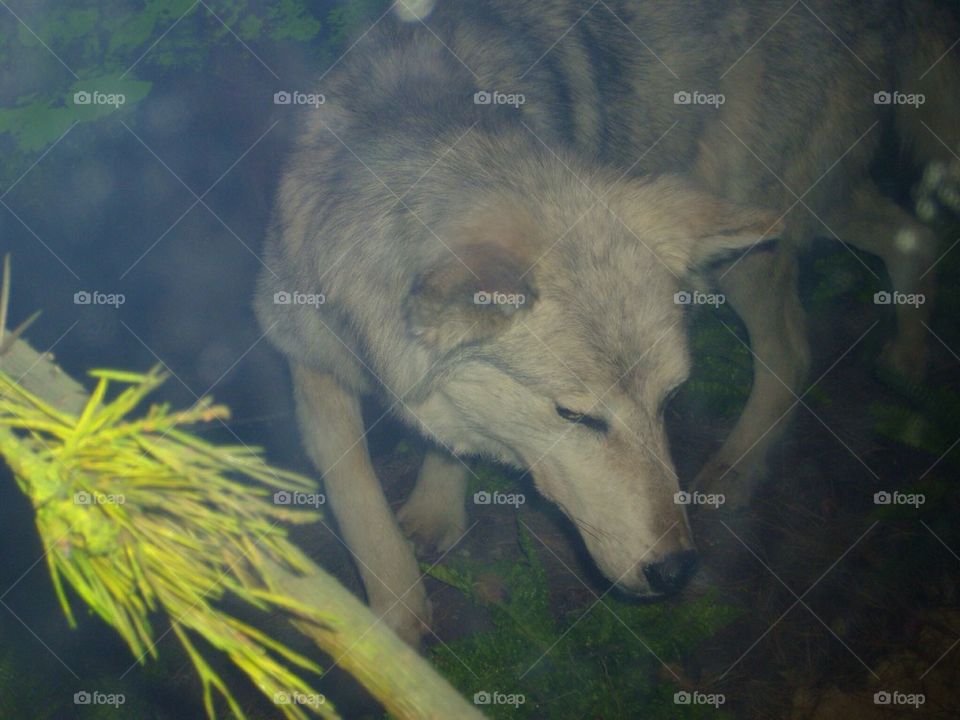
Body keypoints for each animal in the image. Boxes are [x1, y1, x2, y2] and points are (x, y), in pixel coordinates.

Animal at [255, 0, 960, 644]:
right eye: (576, 416)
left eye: (670, 400)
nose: (676, 571)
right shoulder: (306, 356)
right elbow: (360, 501)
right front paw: (395, 621)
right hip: (805, 206)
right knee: (916, 235)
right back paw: (907, 364)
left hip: (757, 226)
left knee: (792, 348)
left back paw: (737, 470)